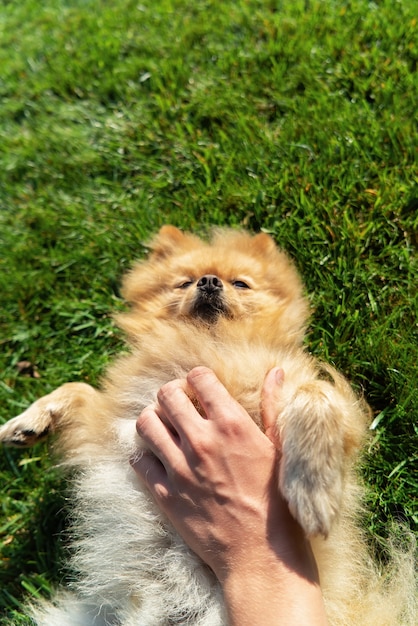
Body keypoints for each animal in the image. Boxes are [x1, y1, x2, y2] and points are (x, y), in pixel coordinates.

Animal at [0, 225, 414, 624]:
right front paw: (29, 421)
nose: (209, 281)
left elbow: (316, 394)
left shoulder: (301, 390)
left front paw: (312, 486)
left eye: (241, 284)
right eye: (184, 282)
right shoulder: (110, 430)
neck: (208, 343)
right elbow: (79, 389)